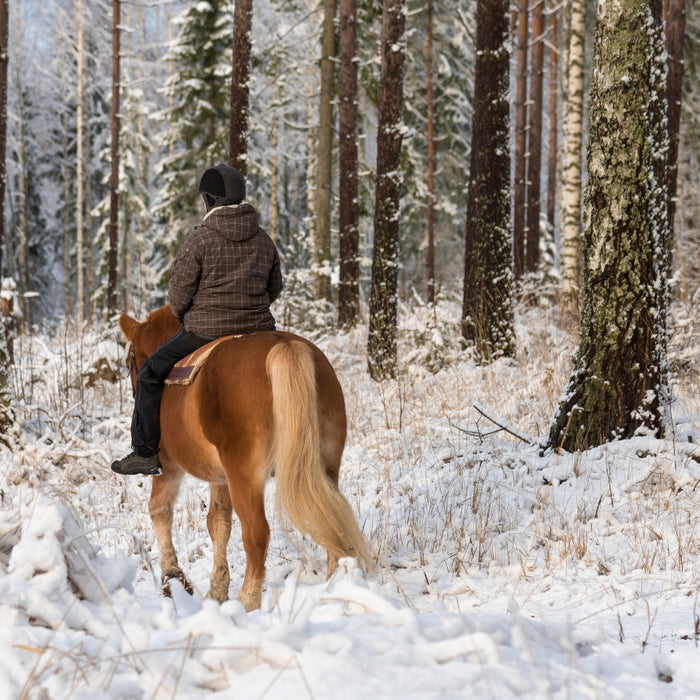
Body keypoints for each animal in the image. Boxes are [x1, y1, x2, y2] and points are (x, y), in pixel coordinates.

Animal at [119, 304, 372, 608]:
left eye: (130, 362)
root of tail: (285, 347)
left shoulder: (168, 466)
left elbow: (159, 509)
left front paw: (173, 576)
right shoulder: (220, 478)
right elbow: (218, 522)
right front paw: (217, 590)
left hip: (245, 478)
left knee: (257, 534)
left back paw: (247, 602)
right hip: (326, 469)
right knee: (333, 520)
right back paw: (334, 587)